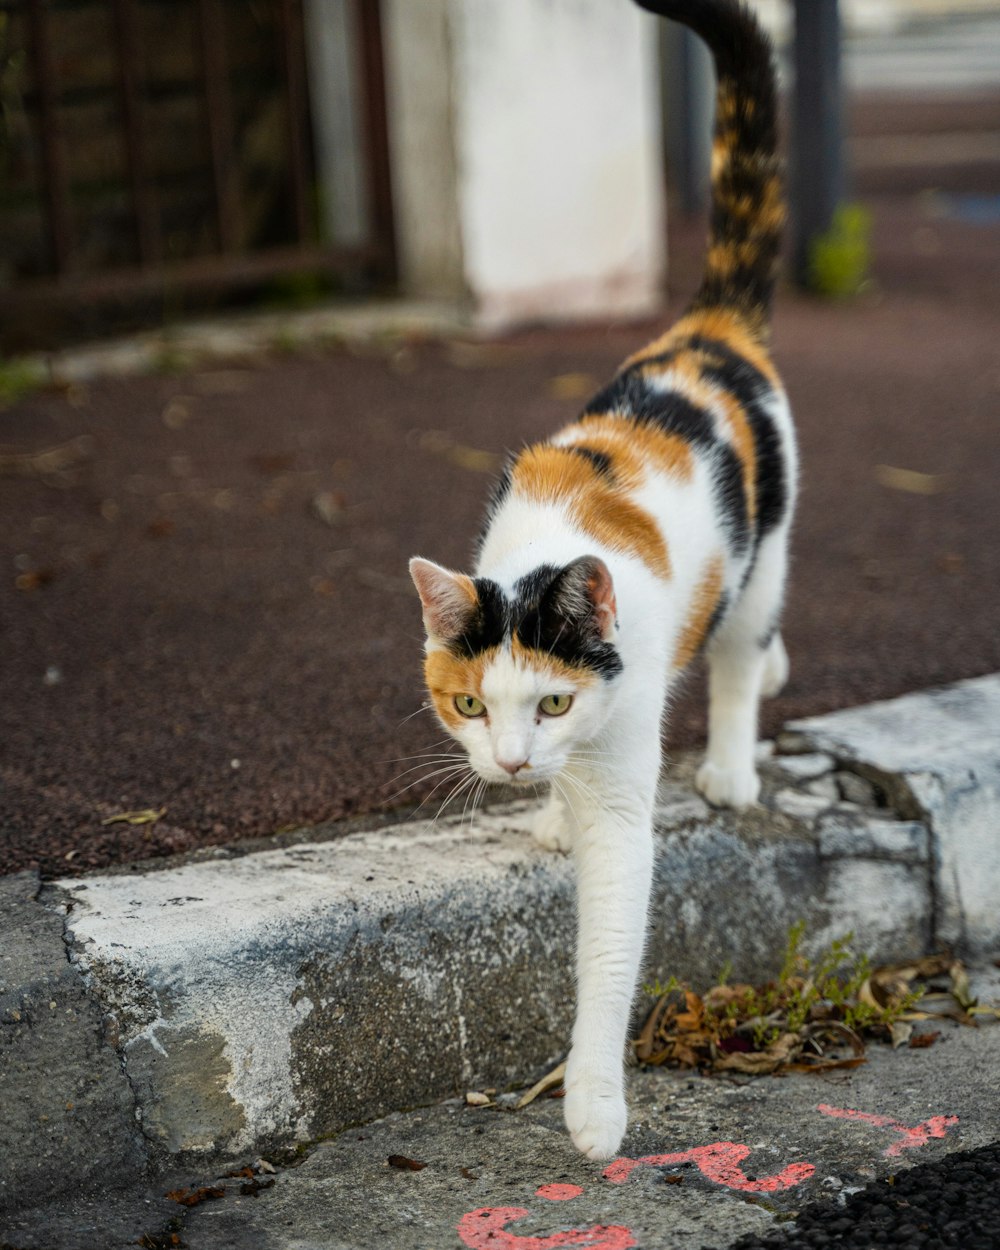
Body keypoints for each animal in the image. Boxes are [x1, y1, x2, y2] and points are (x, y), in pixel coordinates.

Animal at [407, 0, 795, 1165]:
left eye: (553, 699)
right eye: (467, 704)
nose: (512, 758)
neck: (544, 552)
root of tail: (706, 331)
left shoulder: (621, 754)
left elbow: (611, 939)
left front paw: (590, 1102)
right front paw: (544, 813)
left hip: (763, 556)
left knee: (742, 650)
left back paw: (731, 764)